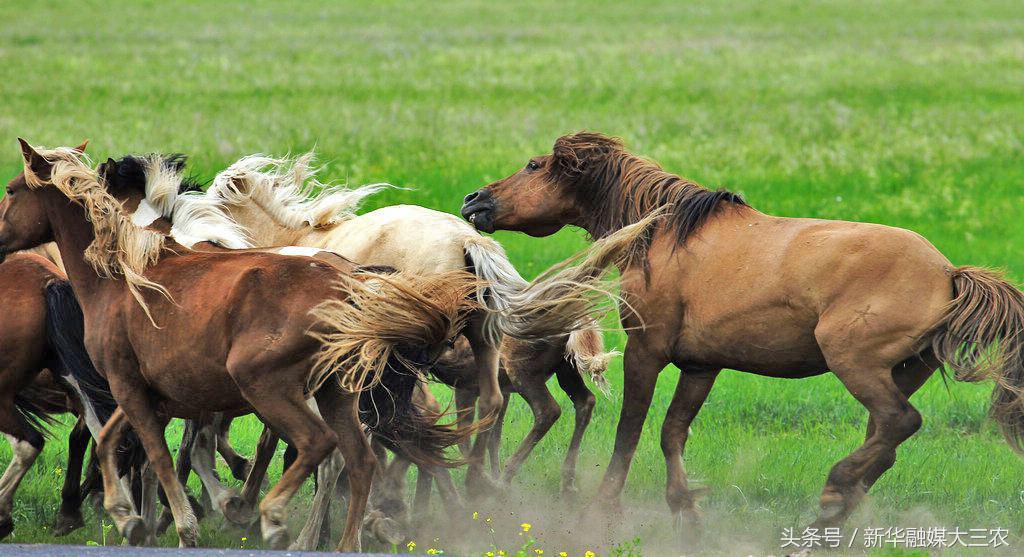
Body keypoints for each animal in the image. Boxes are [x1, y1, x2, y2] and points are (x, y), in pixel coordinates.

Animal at [0, 141, 483, 548]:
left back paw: (292, 525)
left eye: (11, 190)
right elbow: (142, 445)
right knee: (362, 453)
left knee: (329, 450)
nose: (1, 242)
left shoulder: (142, 385)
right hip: (332, 391)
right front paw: (153, 515)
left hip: (272, 386)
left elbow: (166, 452)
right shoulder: (160, 390)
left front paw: (187, 517)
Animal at [462, 130, 1024, 536]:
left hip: (855, 363)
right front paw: (684, 509)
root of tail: (948, 274)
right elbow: (672, 432)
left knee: (899, 422)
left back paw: (831, 494)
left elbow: (630, 431)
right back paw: (833, 515)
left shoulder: (647, 351)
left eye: (534, 166)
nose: (473, 200)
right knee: (884, 442)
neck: (662, 234)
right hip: (903, 370)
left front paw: (603, 509)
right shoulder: (701, 366)